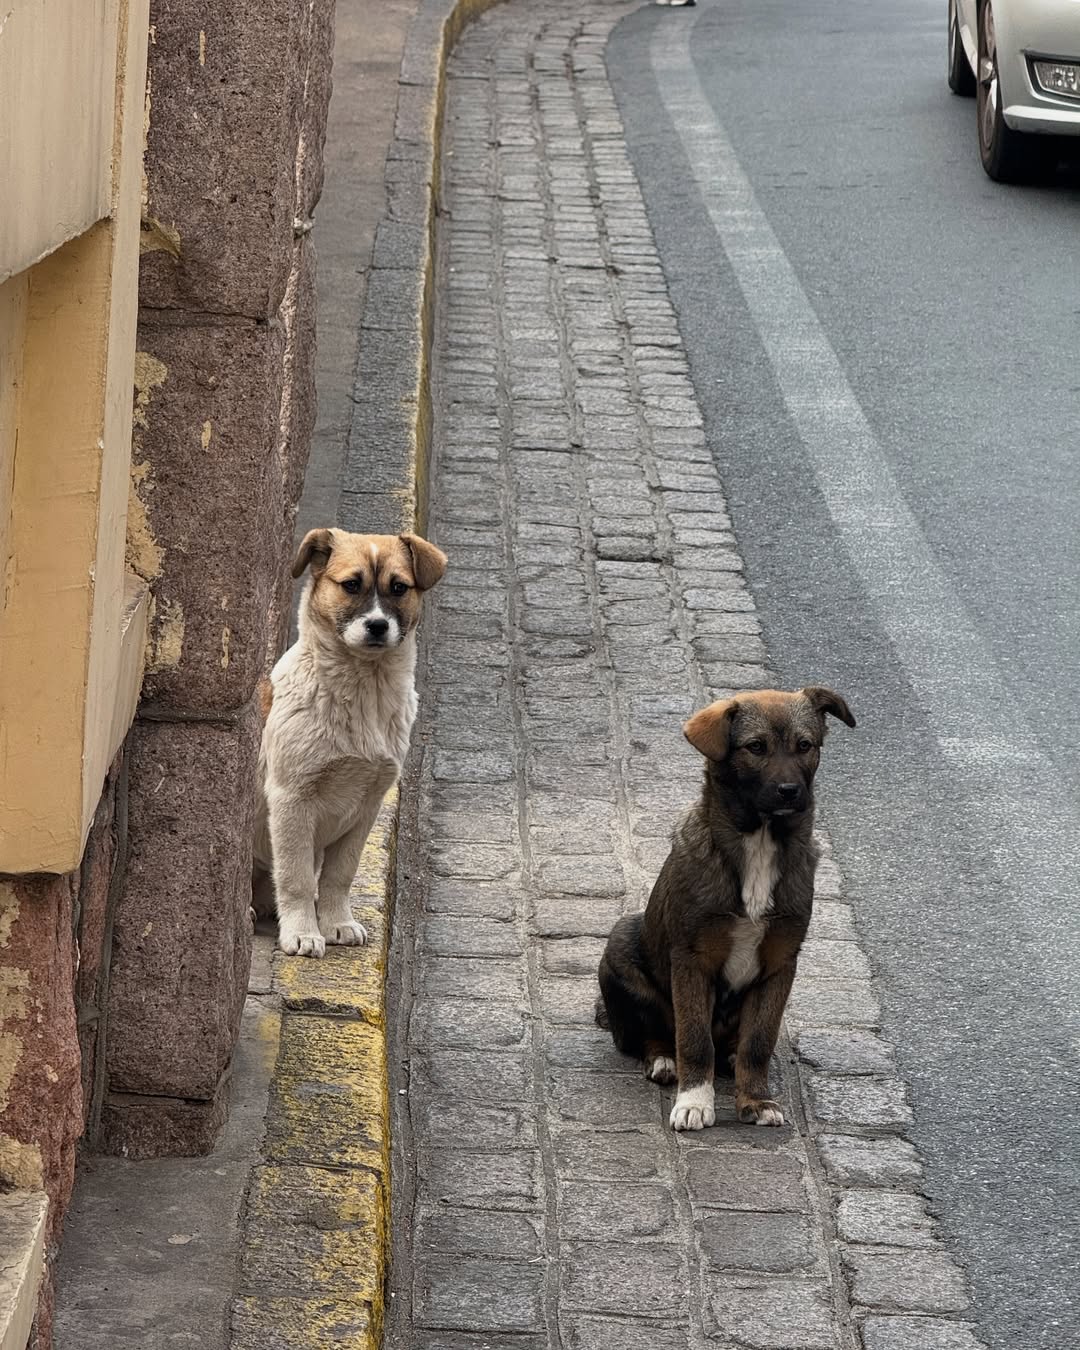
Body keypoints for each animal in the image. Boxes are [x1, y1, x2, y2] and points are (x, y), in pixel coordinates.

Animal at [253, 526, 448, 961]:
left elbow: (339, 875)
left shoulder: (367, 805)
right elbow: (296, 878)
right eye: (351, 585)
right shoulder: (291, 800)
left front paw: (335, 923)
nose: (377, 625)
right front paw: (303, 932)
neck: (363, 689)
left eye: (398, 587)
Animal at [594, 685, 858, 1128]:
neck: (760, 843)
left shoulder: (780, 963)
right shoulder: (692, 959)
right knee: (655, 1033)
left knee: (736, 1042)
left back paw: (730, 1059)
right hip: (620, 947)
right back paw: (664, 1060)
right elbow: (694, 1038)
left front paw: (755, 1099)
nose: (791, 792)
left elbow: (759, 1042)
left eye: (805, 745)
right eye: (756, 747)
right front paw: (695, 1101)